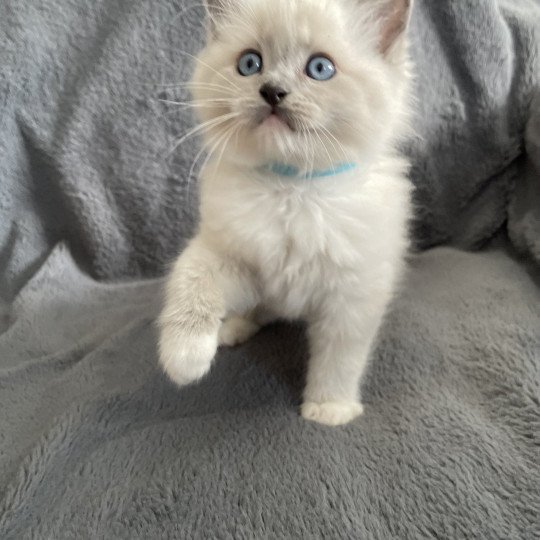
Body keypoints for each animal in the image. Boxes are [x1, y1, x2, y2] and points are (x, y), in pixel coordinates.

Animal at [159, 0, 414, 426]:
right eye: (249, 64)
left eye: (320, 68)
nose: (272, 92)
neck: (293, 190)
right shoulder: (236, 260)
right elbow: (192, 283)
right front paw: (185, 359)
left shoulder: (351, 296)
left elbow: (340, 359)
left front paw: (329, 409)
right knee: (257, 311)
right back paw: (231, 330)